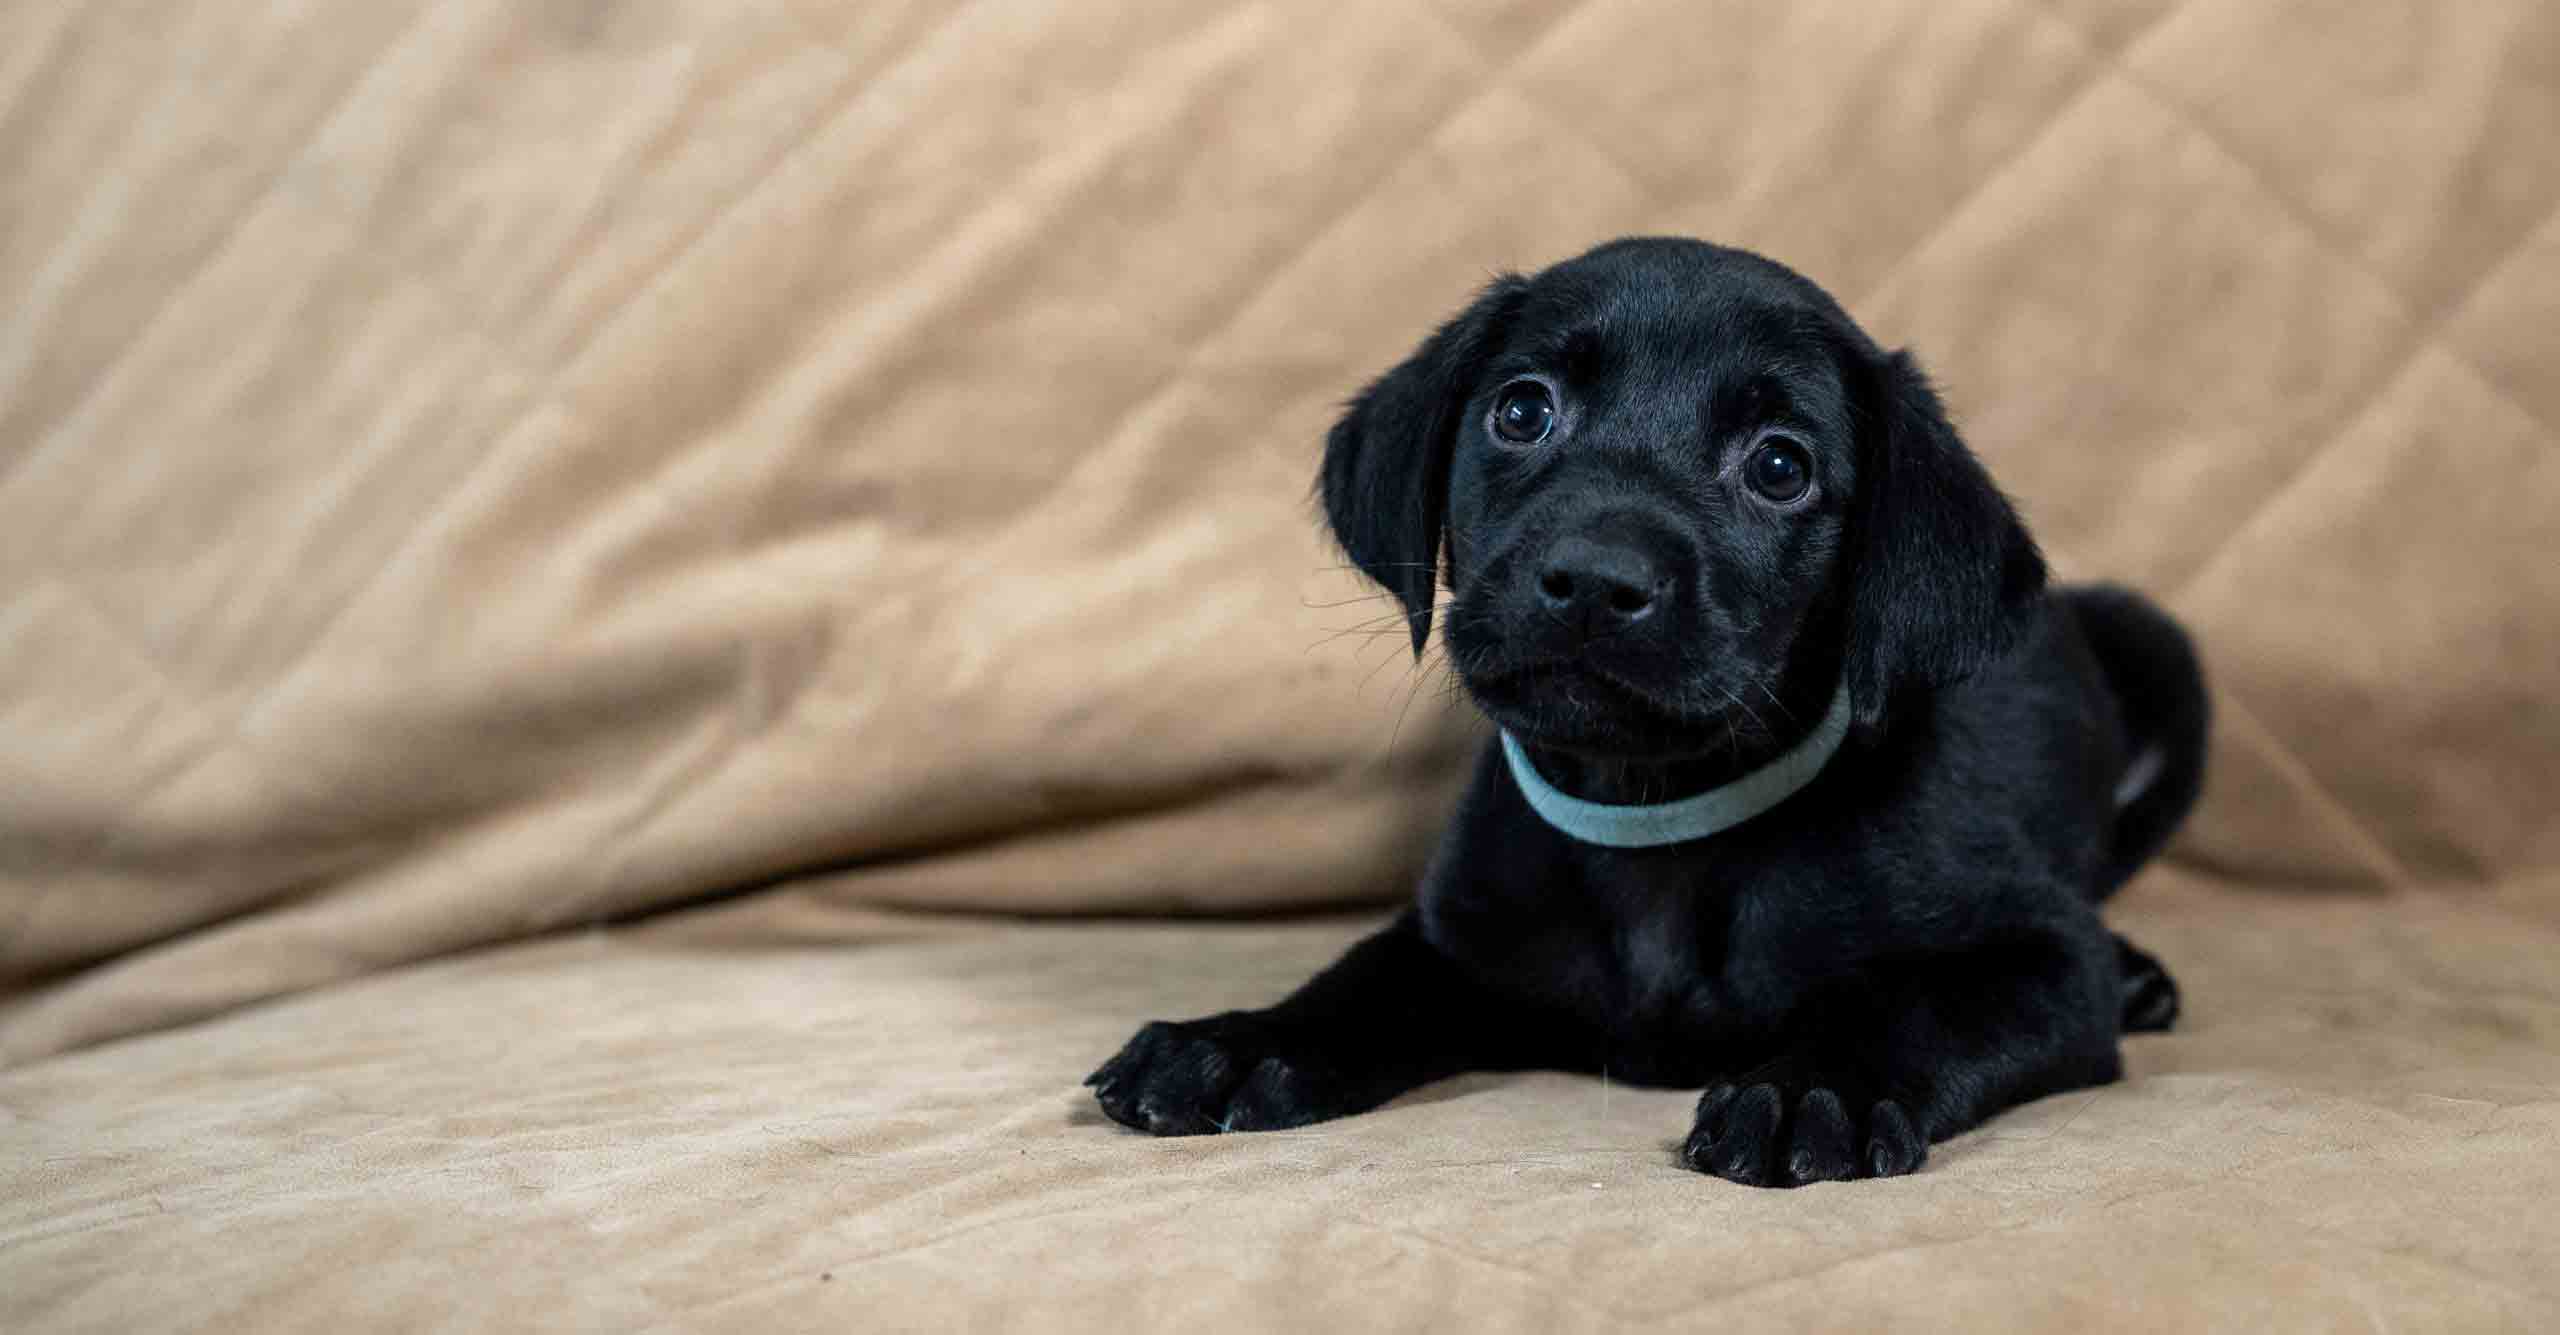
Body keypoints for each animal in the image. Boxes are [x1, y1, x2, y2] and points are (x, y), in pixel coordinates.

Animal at [1080, 234, 2201, 1183]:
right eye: (1521, 411)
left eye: (1780, 466)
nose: (1592, 580)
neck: (1657, 819)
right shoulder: (1458, 940)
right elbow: (1362, 980)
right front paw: (1239, 1043)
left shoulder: (2041, 959)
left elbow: (1916, 1008)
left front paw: (1813, 1088)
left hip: (2159, 651)